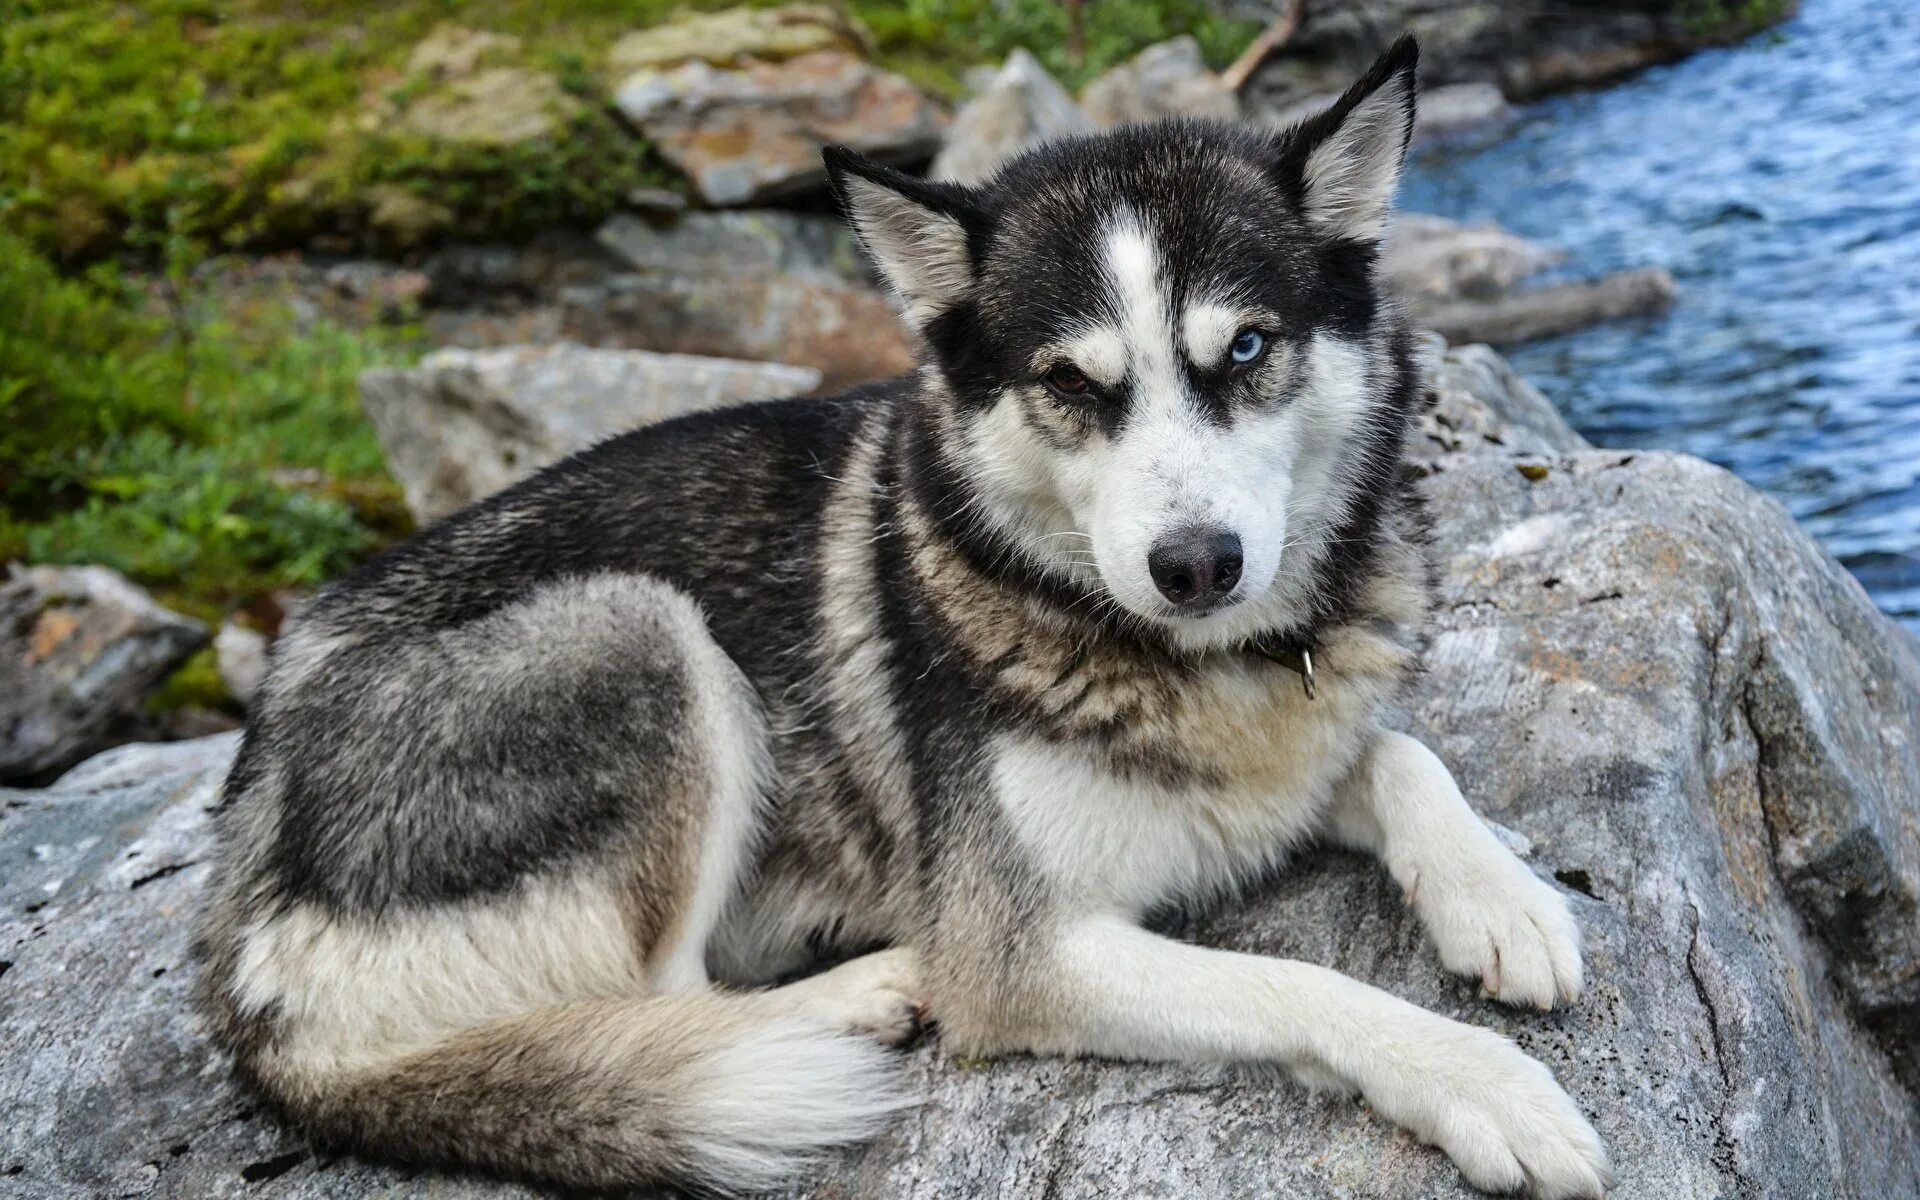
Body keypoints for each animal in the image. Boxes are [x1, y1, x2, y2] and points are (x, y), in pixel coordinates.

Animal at [191, 37, 1605, 1198]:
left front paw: (1504, 899)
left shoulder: (1297, 743)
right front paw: (1483, 1083)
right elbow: (1298, 982)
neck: (1196, 661)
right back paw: (857, 994)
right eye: (1068, 384)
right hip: (638, 636)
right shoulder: (1021, 951)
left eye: (1247, 349)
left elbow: (1395, 752)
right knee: (661, 1001)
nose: (1197, 565)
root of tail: (241, 918)